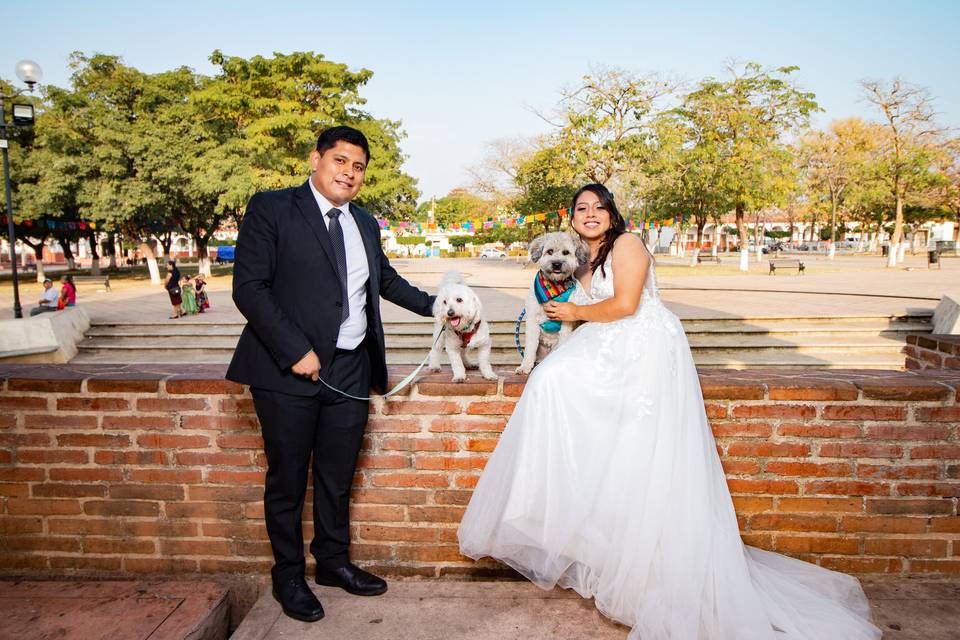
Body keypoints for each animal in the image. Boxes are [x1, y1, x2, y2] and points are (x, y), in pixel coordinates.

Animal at [516, 232, 584, 376]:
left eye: (566, 252)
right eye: (550, 251)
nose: (557, 264)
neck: (553, 288)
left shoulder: (566, 322)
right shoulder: (532, 320)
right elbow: (530, 347)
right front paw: (525, 366)